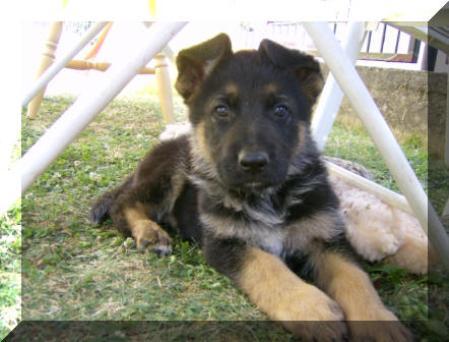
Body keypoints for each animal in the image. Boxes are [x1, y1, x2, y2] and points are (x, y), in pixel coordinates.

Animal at [90, 34, 410, 340]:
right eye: (221, 110)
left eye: (281, 110)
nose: (254, 163)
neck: (269, 197)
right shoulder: (225, 242)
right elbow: (267, 266)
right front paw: (310, 306)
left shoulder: (326, 236)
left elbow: (355, 277)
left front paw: (379, 323)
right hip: (170, 172)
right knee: (124, 203)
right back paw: (150, 232)